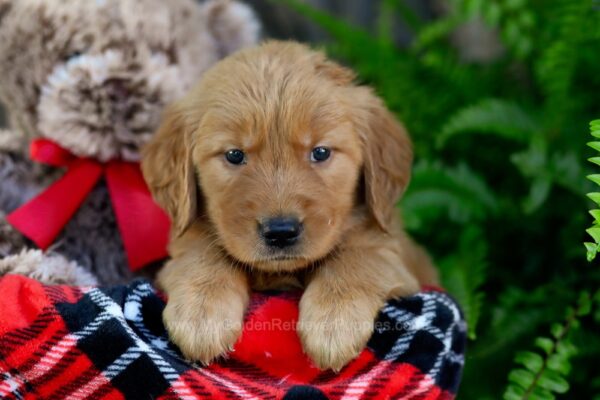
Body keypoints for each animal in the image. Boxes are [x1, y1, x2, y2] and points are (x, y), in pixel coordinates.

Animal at [143, 41, 438, 372]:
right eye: (234, 155)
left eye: (320, 152)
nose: (281, 232)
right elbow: (201, 250)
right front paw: (202, 310)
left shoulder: (398, 255)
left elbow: (361, 256)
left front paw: (334, 320)